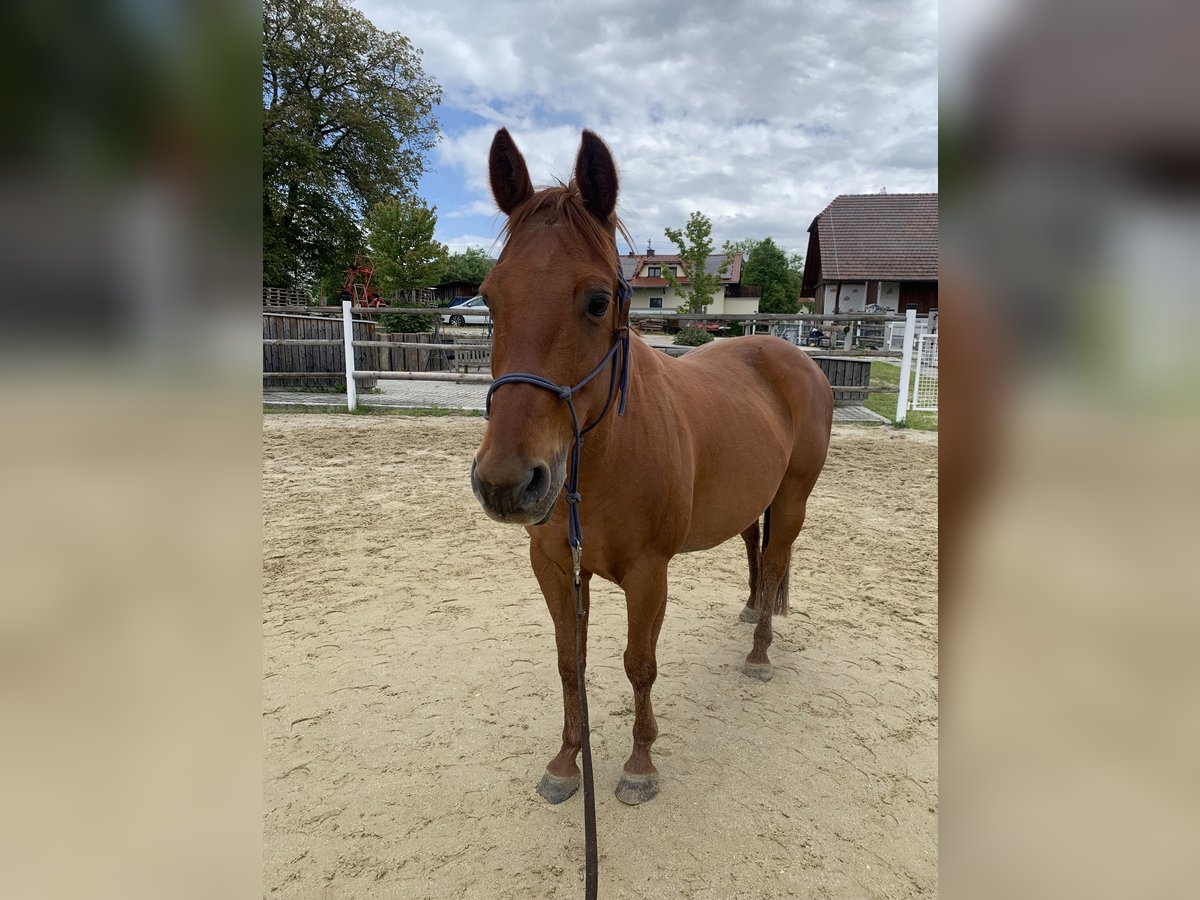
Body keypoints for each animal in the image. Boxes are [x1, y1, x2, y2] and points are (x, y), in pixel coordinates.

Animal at [472, 128, 833, 811]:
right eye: (489, 298)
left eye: (597, 300)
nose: (506, 483)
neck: (603, 462)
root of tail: (790, 353)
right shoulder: (556, 568)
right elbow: (570, 663)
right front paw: (567, 762)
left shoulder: (648, 575)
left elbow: (638, 664)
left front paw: (640, 764)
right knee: (756, 548)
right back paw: (752, 609)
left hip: (794, 498)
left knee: (776, 561)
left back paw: (759, 652)